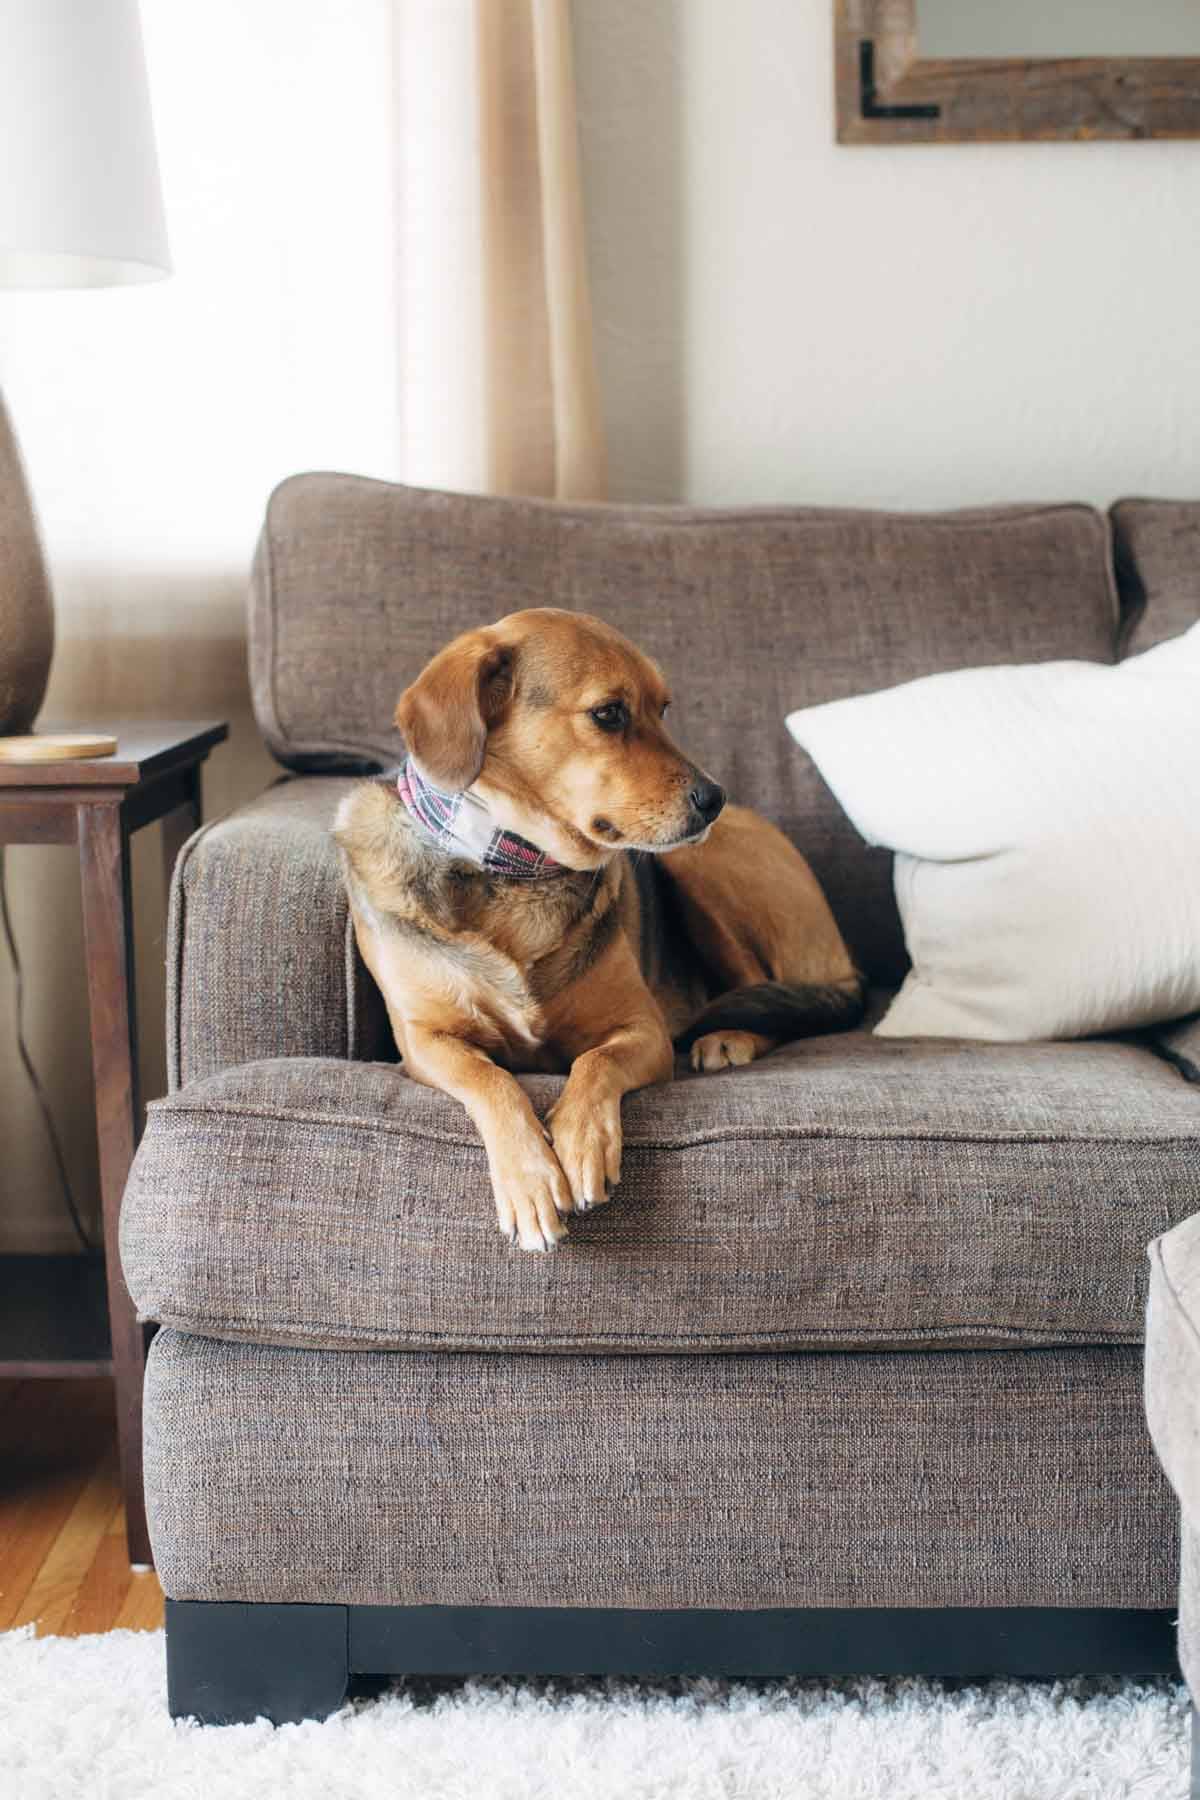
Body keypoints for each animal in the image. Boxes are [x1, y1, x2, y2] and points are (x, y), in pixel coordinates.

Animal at [338, 604, 863, 1252]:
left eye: (663, 709)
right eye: (609, 713)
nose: (714, 798)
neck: (517, 867)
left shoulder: (644, 1031)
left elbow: (594, 1064)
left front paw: (581, 1141)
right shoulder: (424, 1042)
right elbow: (490, 1079)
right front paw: (531, 1179)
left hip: (696, 866)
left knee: (765, 993)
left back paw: (729, 1038)